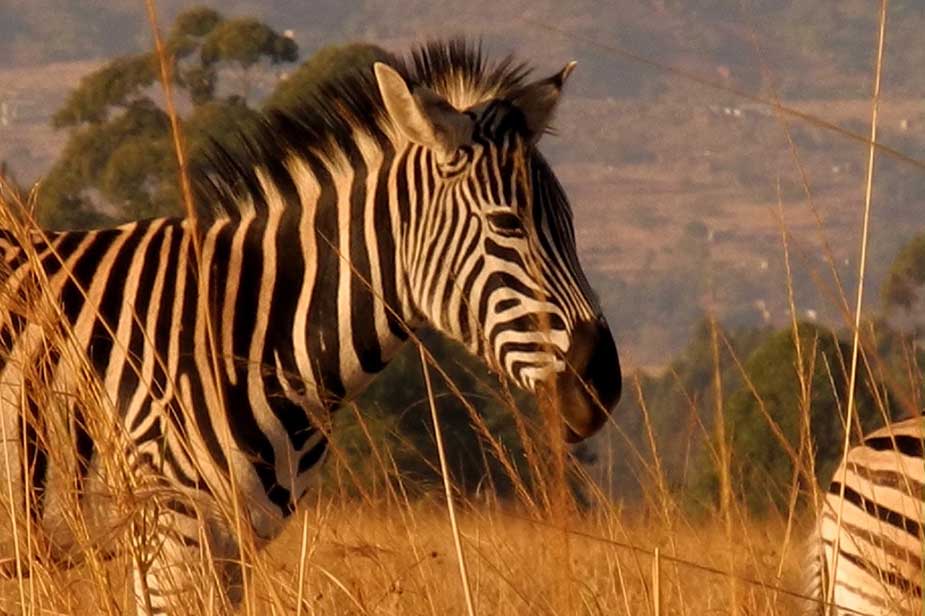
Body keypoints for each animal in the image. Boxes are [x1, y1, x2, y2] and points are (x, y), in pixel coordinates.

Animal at [0, 41, 624, 612]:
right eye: (506, 223)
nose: (603, 386)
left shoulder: (231, 544)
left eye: (570, 224)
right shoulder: (168, 532)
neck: (244, 329)